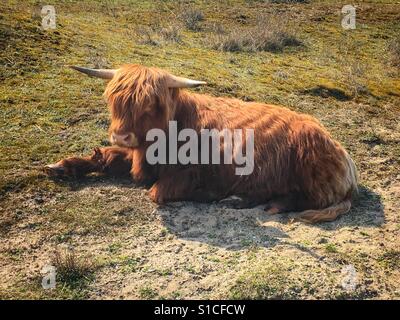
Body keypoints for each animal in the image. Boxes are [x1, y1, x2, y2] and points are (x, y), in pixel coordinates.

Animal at [45, 64, 358, 222]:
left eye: (151, 104)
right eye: (114, 99)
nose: (122, 135)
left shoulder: (192, 172)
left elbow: (159, 191)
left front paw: (211, 193)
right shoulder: (137, 157)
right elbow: (107, 157)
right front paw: (62, 166)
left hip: (310, 168)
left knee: (301, 198)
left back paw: (245, 200)